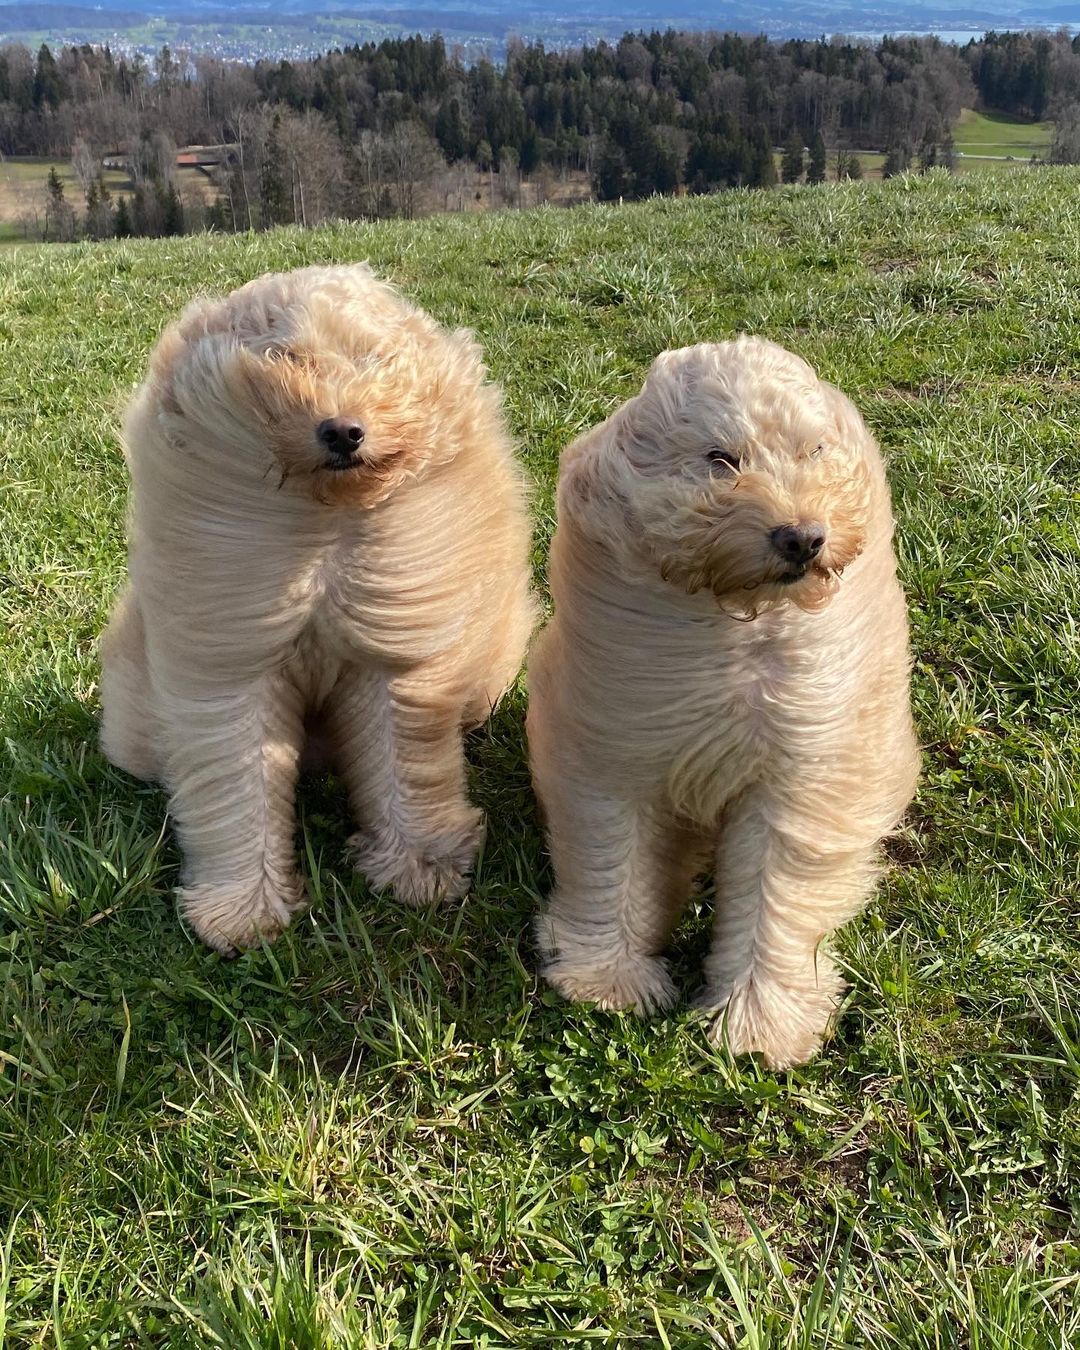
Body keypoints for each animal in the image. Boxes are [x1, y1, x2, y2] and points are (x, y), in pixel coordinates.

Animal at [99, 263, 534, 955]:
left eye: (371, 360)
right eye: (285, 358)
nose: (343, 430)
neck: (324, 524)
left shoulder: (393, 666)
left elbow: (401, 766)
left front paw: (420, 869)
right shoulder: (235, 668)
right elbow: (239, 787)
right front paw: (241, 911)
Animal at [526, 337, 918, 1063]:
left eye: (813, 451)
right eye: (721, 458)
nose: (803, 537)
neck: (735, 615)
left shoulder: (793, 776)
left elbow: (772, 890)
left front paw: (759, 1023)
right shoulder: (616, 744)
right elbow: (612, 857)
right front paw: (608, 981)